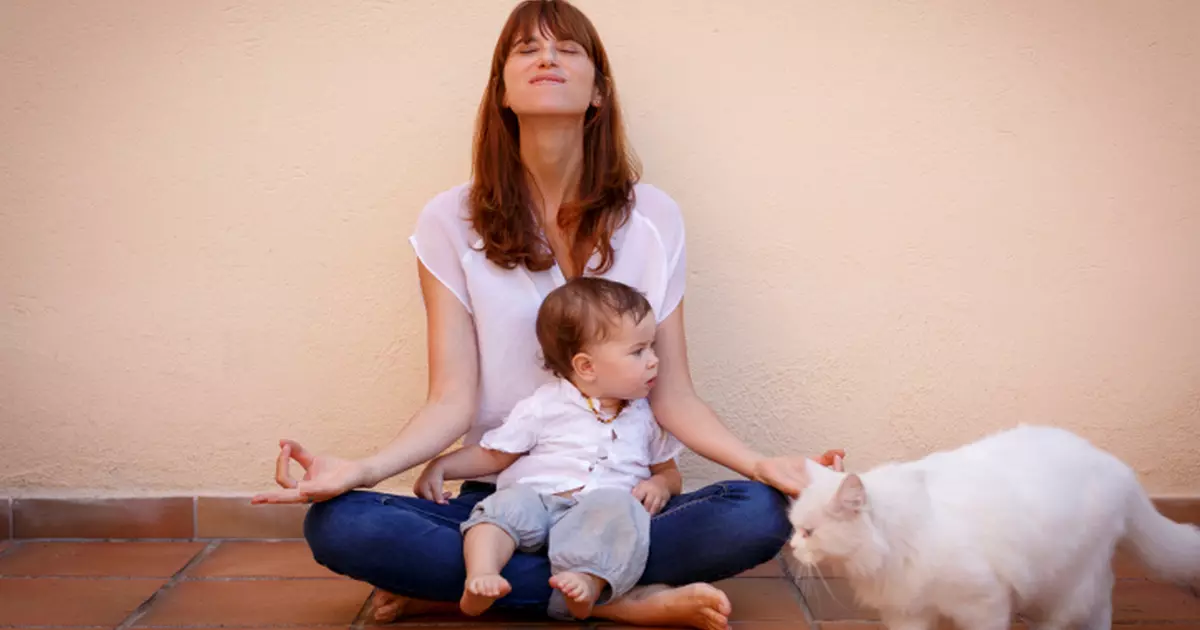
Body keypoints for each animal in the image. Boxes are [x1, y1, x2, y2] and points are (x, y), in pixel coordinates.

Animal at [787, 422, 1200, 628]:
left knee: (1086, 613)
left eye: (809, 533)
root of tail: (1119, 468)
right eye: (794, 528)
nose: (791, 546)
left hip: (1068, 583)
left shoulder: (982, 603)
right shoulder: (907, 611)